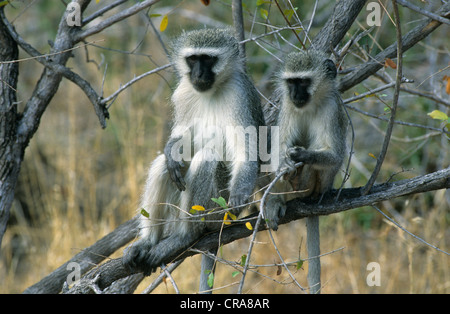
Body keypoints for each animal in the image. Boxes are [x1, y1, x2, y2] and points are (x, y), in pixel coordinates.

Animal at [121, 28, 266, 280]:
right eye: (192, 59)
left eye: (207, 59)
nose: (198, 73)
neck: (212, 91)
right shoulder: (182, 93)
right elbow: (181, 139)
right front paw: (171, 150)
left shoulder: (240, 94)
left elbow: (245, 151)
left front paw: (240, 195)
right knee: (163, 166)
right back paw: (148, 241)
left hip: (218, 211)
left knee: (206, 158)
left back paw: (185, 236)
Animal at [264, 49, 348, 294]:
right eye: (291, 82)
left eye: (303, 82)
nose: (294, 93)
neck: (312, 104)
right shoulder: (287, 106)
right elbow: (279, 147)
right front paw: (285, 163)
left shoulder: (332, 109)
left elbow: (335, 155)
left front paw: (301, 156)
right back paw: (277, 201)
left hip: (315, 186)